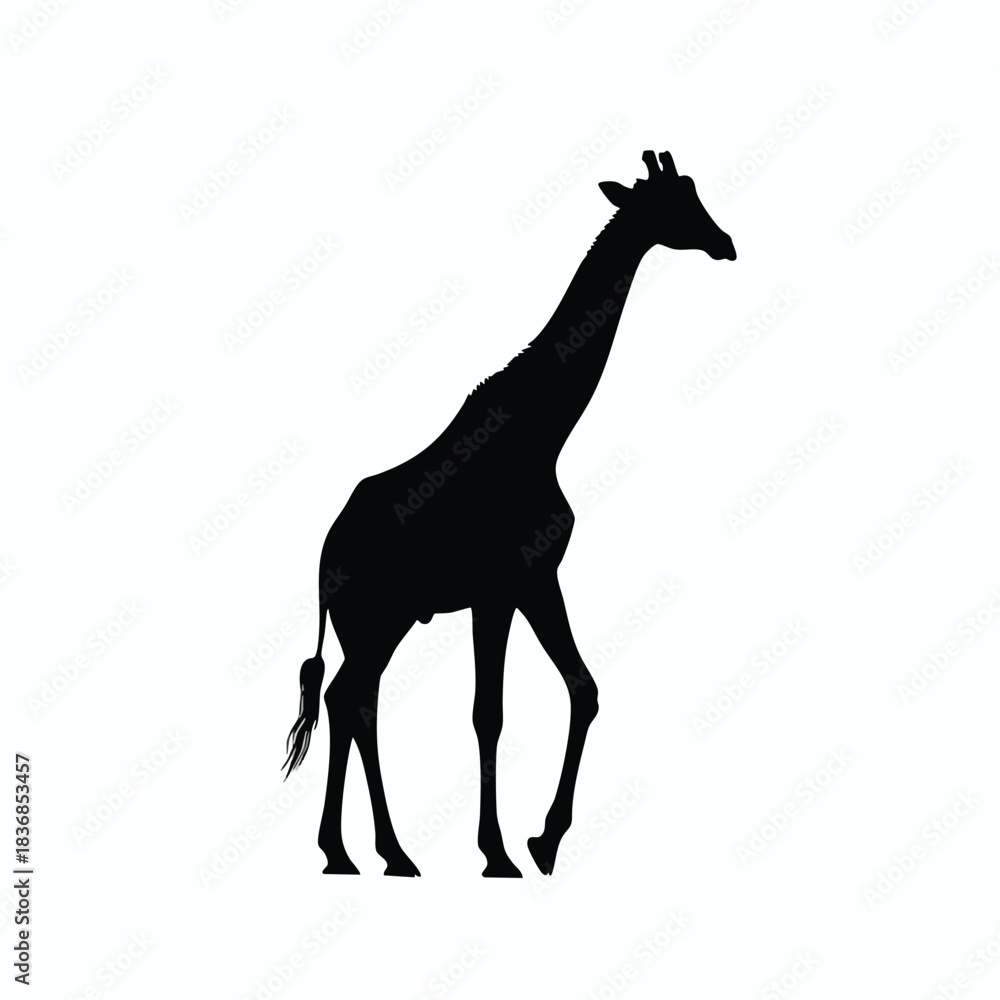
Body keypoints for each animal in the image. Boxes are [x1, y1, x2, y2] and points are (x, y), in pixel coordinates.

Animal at [283, 150, 735, 877]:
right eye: (670, 203)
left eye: (693, 194)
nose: (725, 243)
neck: (545, 431)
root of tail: (324, 559)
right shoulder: (504, 586)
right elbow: (490, 713)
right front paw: (503, 850)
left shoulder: (528, 582)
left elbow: (581, 689)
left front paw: (539, 841)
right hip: (375, 619)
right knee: (353, 700)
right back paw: (380, 852)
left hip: (378, 624)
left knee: (349, 699)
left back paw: (356, 852)